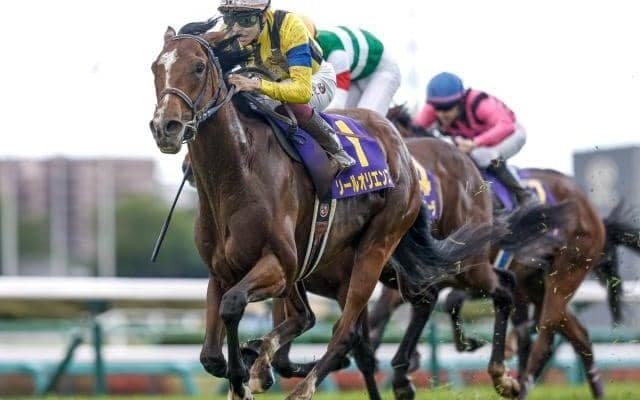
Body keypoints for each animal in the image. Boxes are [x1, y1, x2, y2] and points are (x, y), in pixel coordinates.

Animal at [149, 28, 504, 400]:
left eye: (199, 66)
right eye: (155, 68)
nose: (166, 127)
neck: (237, 174)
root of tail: (401, 150)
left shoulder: (280, 265)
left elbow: (235, 307)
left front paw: (248, 374)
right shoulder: (223, 273)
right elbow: (211, 355)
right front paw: (246, 370)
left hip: (382, 249)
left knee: (349, 331)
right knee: (416, 299)